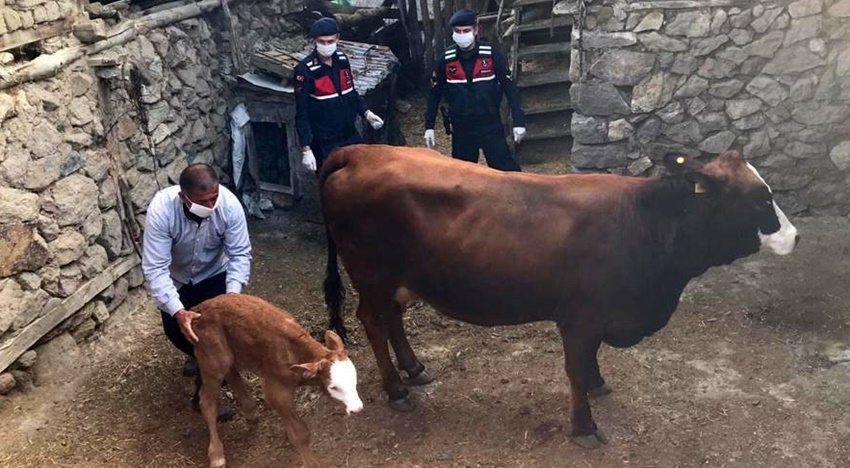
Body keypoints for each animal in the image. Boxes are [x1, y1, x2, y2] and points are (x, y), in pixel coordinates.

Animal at [190, 294, 362, 468]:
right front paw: (311, 462)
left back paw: (251, 411)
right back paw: (217, 455)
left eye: (354, 379)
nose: (358, 409)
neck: (295, 352)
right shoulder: (275, 390)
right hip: (212, 356)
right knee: (207, 401)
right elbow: (300, 433)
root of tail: (199, 308)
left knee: (232, 373)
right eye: (333, 387)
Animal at [318, 144, 796, 448]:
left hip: (399, 278)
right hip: (372, 274)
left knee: (393, 317)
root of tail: (361, 150)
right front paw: (584, 427)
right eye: (760, 199)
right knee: (373, 320)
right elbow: (576, 369)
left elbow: (589, 365)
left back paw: (415, 369)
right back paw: (397, 390)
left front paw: (599, 384)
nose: (793, 236)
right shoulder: (580, 317)